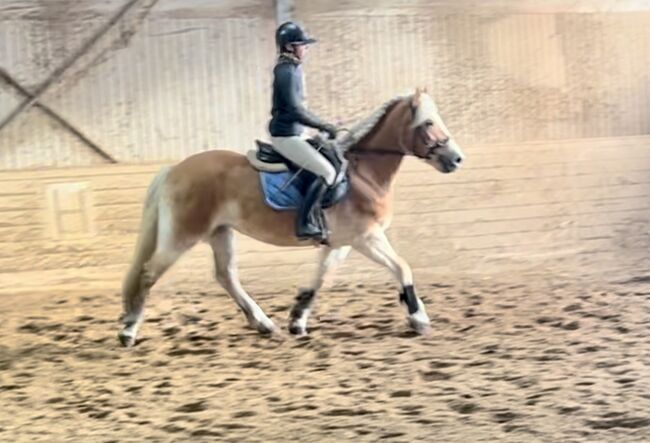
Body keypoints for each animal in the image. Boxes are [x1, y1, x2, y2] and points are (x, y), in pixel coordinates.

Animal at [119, 89, 464, 346]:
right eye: (428, 123)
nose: (456, 159)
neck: (363, 173)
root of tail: (173, 169)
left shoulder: (340, 242)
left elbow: (320, 279)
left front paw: (297, 320)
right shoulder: (367, 237)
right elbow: (402, 267)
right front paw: (418, 318)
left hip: (221, 232)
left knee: (226, 275)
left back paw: (263, 323)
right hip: (183, 235)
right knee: (149, 273)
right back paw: (129, 330)